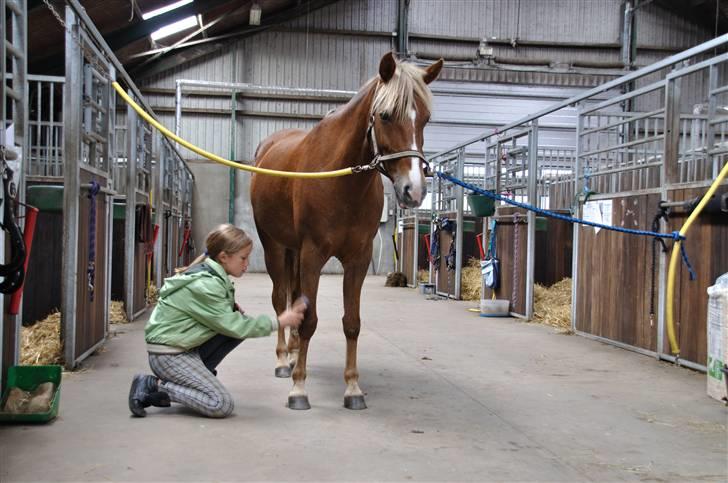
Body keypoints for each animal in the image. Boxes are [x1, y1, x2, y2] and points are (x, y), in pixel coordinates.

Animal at [250, 52, 443, 410]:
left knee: (293, 298)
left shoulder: (358, 258)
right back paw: (284, 360)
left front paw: (353, 388)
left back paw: (294, 354)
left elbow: (351, 323)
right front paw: (299, 388)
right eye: (385, 115)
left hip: (293, 251)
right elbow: (309, 320)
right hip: (274, 247)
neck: (340, 180)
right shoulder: (312, 255)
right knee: (279, 299)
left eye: (425, 118)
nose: (414, 190)